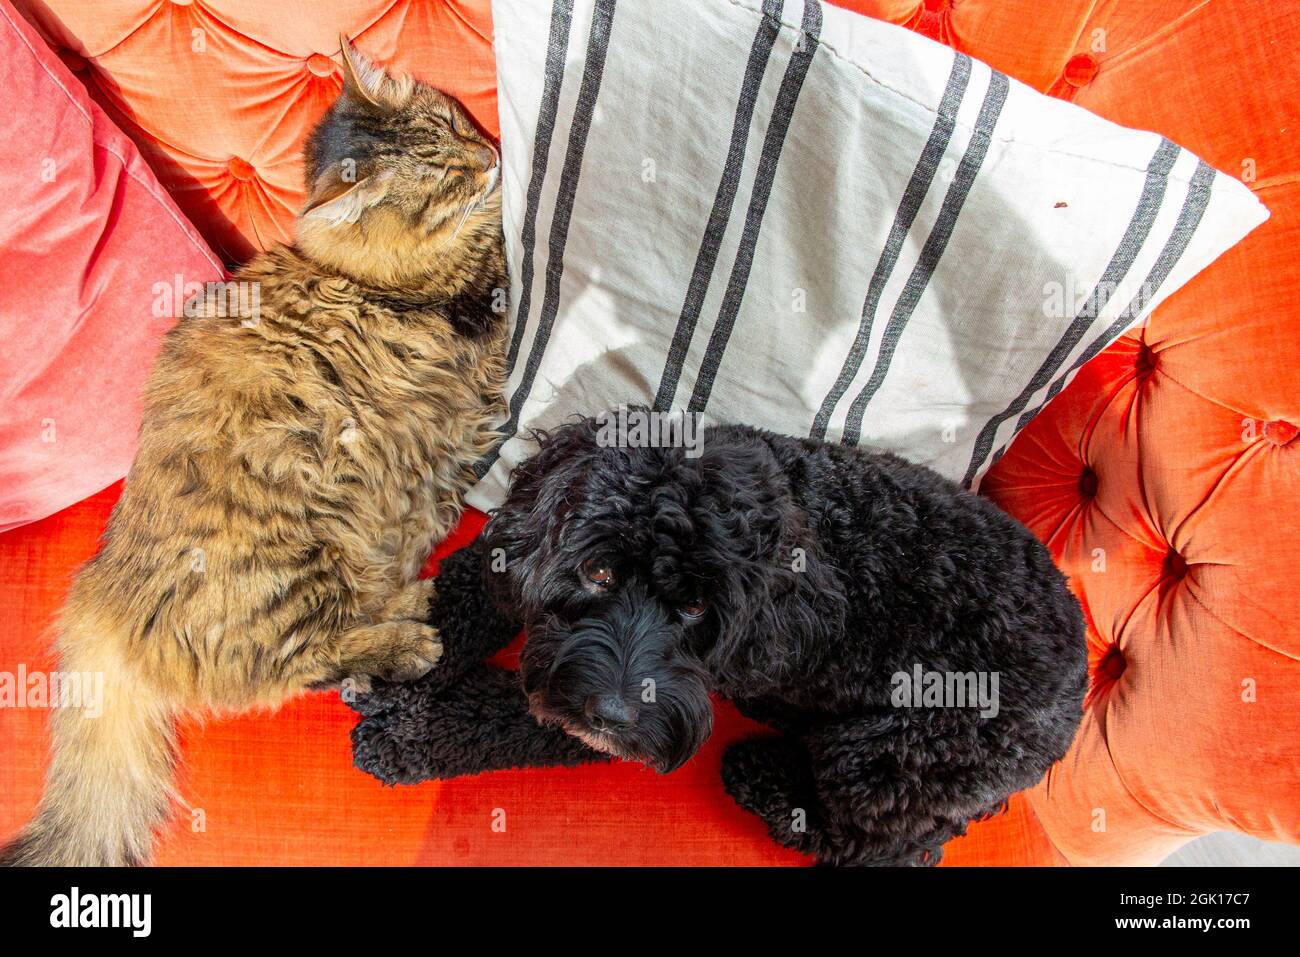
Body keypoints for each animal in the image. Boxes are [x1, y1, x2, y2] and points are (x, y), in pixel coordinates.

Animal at [1, 39, 506, 868]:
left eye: (451, 124)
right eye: (439, 180)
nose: (491, 157)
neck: (356, 269)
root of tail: (102, 593)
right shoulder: (480, 304)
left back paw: (411, 609)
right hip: (299, 556)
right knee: (304, 662)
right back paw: (414, 636)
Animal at [351, 410, 1092, 868]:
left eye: (695, 607)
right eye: (597, 571)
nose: (612, 713)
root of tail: (1079, 692)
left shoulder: (642, 713)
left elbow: (511, 715)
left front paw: (406, 735)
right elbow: (471, 591)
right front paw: (389, 653)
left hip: (888, 754)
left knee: (879, 845)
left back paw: (766, 780)